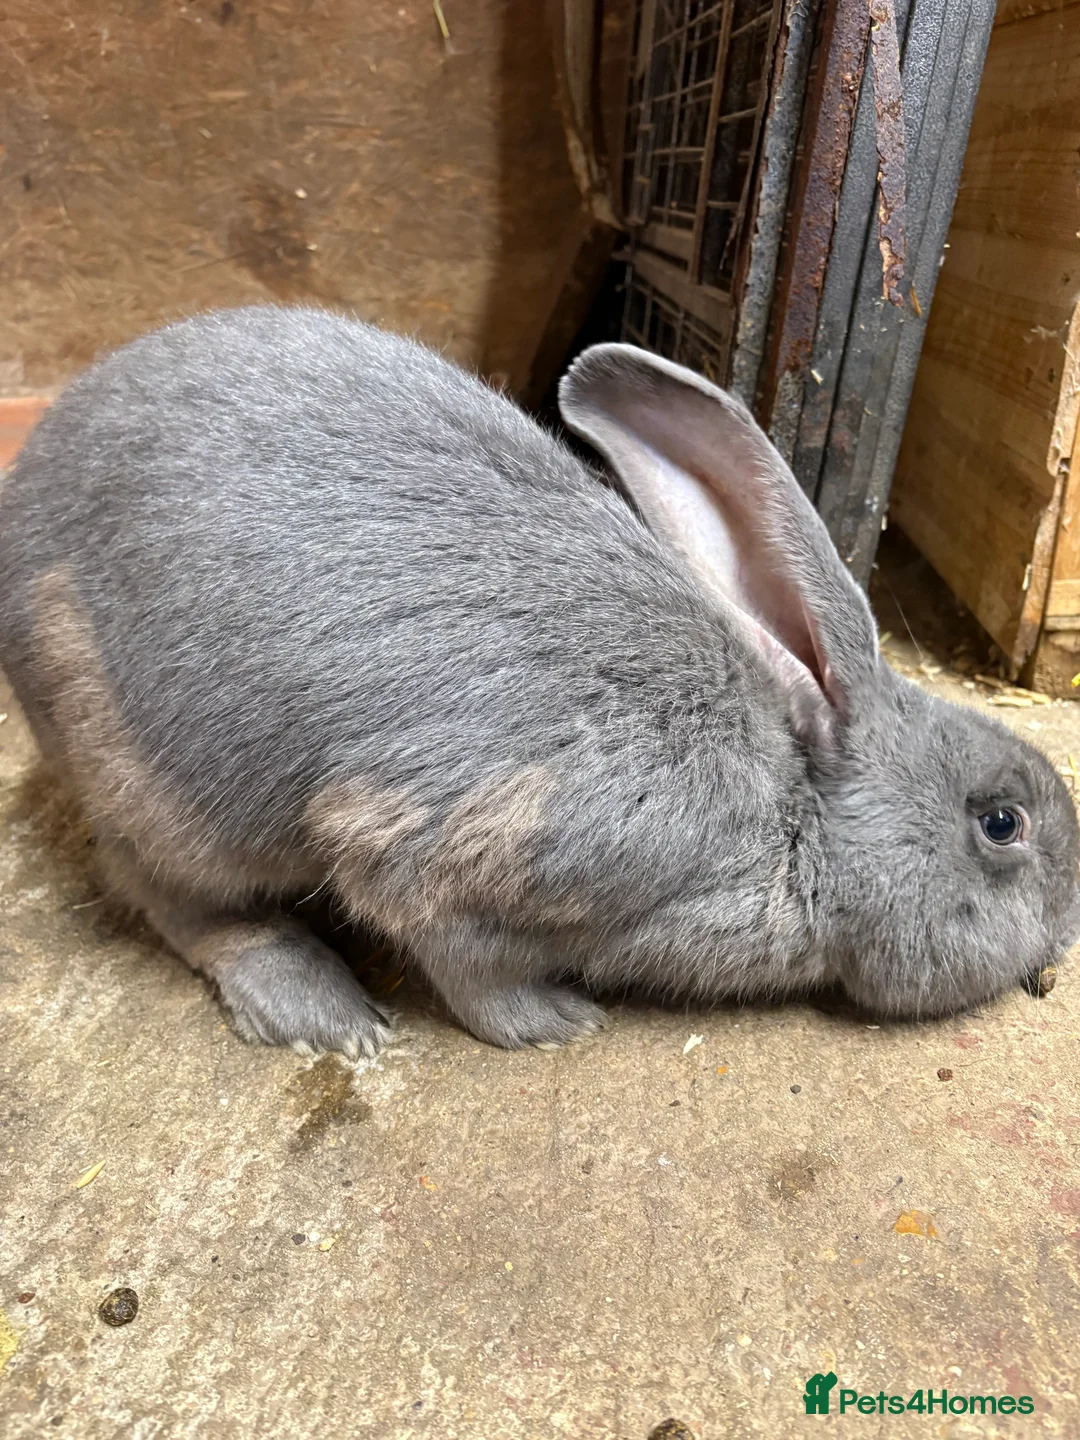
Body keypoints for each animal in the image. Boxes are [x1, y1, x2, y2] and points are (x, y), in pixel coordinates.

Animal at [0, 305, 1076, 1059]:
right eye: (1001, 823)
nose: (1064, 941)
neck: (794, 804)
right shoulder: (456, 858)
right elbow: (469, 968)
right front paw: (559, 1022)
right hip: (160, 797)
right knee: (179, 901)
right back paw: (321, 1011)